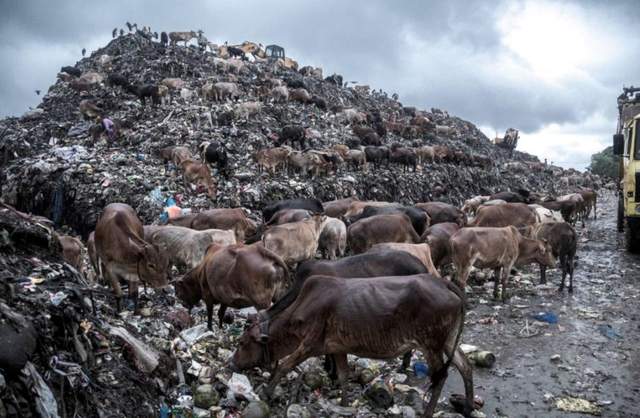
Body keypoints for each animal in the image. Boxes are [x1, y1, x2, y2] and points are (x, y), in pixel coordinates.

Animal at [230, 274, 476, 418]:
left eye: (242, 342)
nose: (232, 363)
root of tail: (443, 282)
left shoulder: (309, 345)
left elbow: (284, 366)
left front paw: (267, 392)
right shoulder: (337, 348)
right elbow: (343, 376)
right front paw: (344, 403)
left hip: (431, 343)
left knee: (441, 377)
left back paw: (428, 413)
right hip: (448, 341)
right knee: (465, 367)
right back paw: (468, 408)